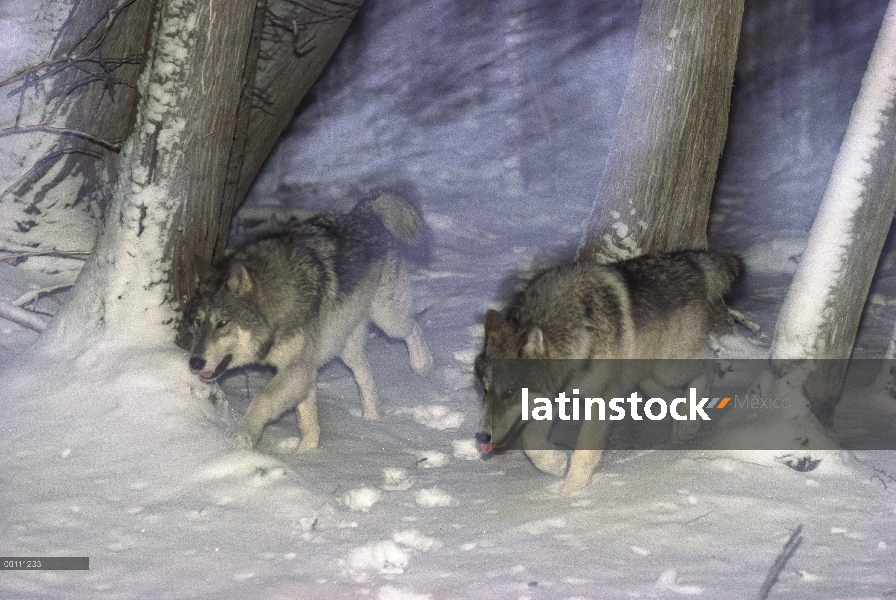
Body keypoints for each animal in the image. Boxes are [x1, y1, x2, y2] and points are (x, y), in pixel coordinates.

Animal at [183, 195, 434, 452]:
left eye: (222, 322)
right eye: (198, 322)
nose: (194, 362)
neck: (277, 304)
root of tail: (363, 214)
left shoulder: (298, 369)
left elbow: (262, 398)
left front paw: (242, 435)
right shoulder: (304, 371)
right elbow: (307, 420)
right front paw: (307, 452)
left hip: (387, 320)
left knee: (414, 328)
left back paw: (422, 365)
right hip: (345, 346)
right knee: (365, 376)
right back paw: (371, 421)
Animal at [476, 248, 744, 492]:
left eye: (509, 392)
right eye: (485, 390)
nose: (481, 437)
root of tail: (689, 259)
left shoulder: (601, 398)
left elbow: (583, 452)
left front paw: (569, 494)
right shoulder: (557, 395)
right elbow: (530, 442)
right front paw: (556, 464)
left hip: (668, 368)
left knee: (709, 365)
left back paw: (690, 423)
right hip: (644, 377)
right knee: (674, 396)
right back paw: (681, 429)